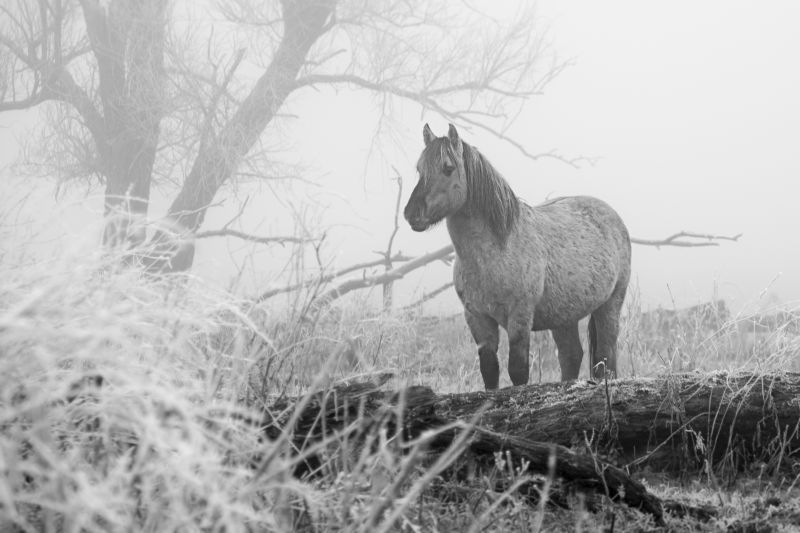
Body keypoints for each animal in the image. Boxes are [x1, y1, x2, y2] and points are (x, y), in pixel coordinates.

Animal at [404, 124, 628, 390]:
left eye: (448, 168)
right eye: (419, 169)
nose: (412, 214)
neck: (495, 251)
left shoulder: (519, 316)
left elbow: (518, 371)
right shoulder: (477, 318)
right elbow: (489, 370)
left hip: (610, 304)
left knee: (606, 356)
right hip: (564, 316)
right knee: (571, 355)